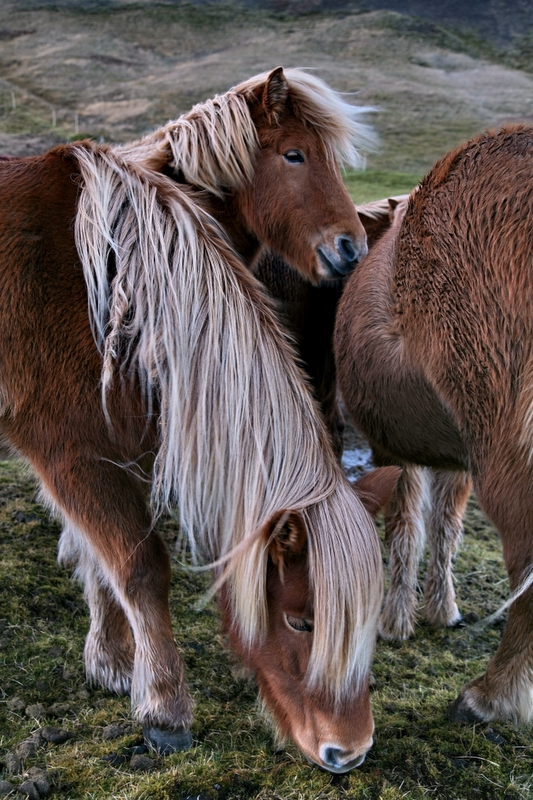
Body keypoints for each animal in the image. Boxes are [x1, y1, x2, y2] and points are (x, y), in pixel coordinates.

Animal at [0, 70, 400, 776]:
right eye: (300, 622)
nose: (349, 753)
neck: (113, 287)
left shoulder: (124, 446)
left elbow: (98, 557)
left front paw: (110, 662)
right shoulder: (70, 452)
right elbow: (136, 565)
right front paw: (162, 705)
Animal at [334, 123, 533, 724]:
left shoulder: (398, 449)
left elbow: (406, 526)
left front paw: (394, 620)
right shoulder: (455, 454)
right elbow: (445, 527)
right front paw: (441, 609)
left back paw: (490, 696)